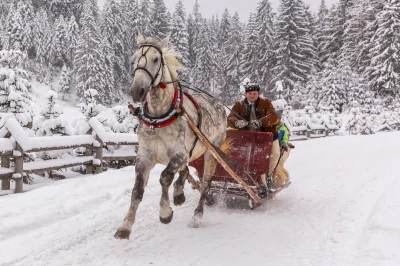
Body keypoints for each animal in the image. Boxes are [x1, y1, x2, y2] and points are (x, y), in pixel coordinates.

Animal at [115, 35, 228, 239]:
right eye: (134, 59)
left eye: (155, 59)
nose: (137, 91)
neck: (158, 117)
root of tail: (218, 104)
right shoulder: (145, 156)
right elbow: (137, 190)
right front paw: (125, 226)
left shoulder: (179, 153)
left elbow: (165, 177)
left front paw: (165, 212)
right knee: (185, 172)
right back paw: (179, 193)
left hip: (210, 152)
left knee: (206, 183)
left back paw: (197, 215)